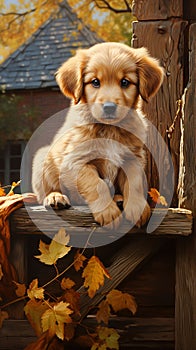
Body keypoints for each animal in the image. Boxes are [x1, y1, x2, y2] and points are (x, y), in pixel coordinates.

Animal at [32, 42, 164, 228]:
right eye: (95, 82)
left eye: (125, 82)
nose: (109, 107)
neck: (110, 129)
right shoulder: (77, 161)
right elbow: (96, 184)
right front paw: (107, 212)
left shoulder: (133, 158)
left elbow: (135, 181)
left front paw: (137, 207)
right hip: (42, 159)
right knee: (46, 191)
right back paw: (55, 197)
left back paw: (118, 198)